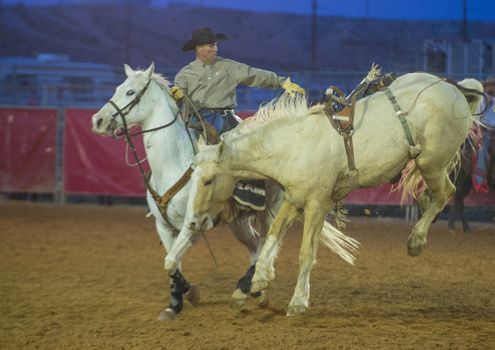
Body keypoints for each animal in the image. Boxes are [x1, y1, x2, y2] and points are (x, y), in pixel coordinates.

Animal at [92, 63, 280, 320]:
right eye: (117, 88)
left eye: (130, 92)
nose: (98, 120)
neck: (174, 163)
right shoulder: (163, 225)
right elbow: (172, 263)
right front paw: (178, 300)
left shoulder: (195, 224)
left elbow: (171, 261)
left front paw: (187, 294)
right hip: (237, 221)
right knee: (253, 246)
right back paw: (252, 291)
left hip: (269, 212)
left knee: (264, 246)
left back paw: (249, 289)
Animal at [173, 72, 484, 316]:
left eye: (208, 180)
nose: (193, 221)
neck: (293, 145)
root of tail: (456, 88)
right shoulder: (293, 199)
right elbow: (272, 233)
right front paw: (260, 279)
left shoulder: (317, 204)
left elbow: (306, 253)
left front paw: (298, 302)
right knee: (434, 196)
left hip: (432, 162)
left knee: (446, 193)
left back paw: (416, 241)